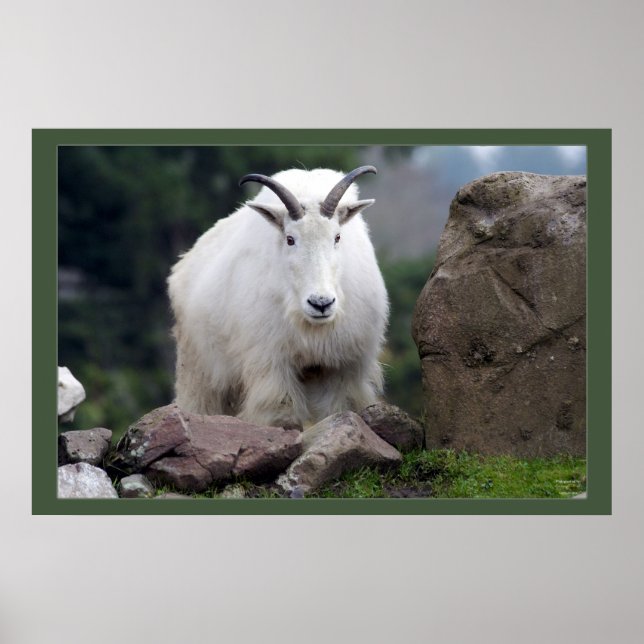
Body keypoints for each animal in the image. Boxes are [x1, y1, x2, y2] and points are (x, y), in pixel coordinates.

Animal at [168, 166, 389, 427]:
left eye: (337, 237)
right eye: (290, 239)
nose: (321, 304)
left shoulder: (342, 367)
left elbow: (336, 409)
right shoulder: (272, 363)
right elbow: (283, 414)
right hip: (199, 368)